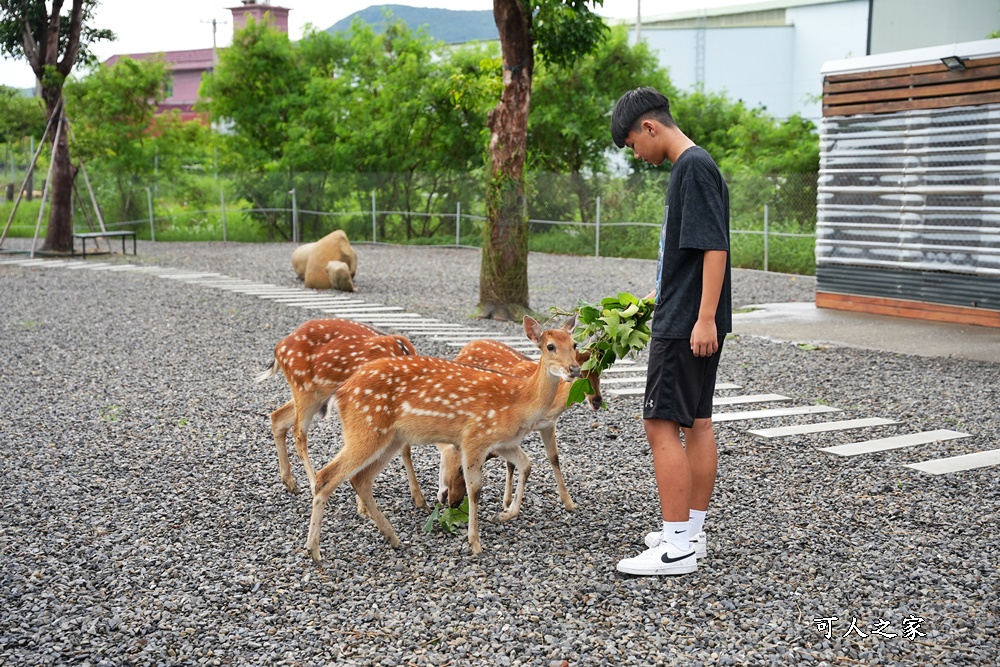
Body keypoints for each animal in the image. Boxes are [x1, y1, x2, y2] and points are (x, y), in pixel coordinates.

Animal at [254, 320, 422, 498]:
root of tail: (278, 348)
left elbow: (405, 448)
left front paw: (418, 498)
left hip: (316, 394)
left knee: (277, 417)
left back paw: (290, 483)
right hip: (303, 389)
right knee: (298, 433)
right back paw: (314, 486)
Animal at [304, 316, 580, 560]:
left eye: (575, 344)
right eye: (550, 346)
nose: (574, 369)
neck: (520, 402)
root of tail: (341, 392)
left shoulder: (504, 442)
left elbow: (526, 465)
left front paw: (503, 515)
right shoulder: (475, 436)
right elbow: (475, 489)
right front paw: (475, 542)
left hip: (389, 438)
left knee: (360, 479)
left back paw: (393, 538)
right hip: (365, 428)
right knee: (326, 476)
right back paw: (314, 551)